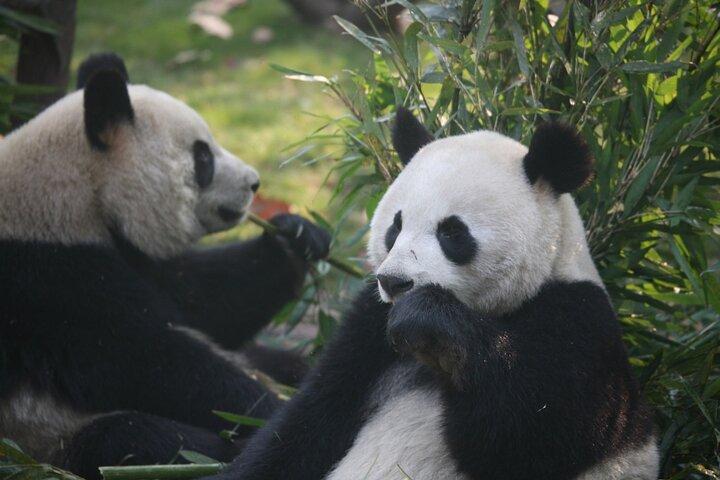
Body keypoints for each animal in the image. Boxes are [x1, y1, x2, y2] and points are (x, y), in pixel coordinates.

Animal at [0, 53, 330, 478]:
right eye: (202, 157)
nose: (254, 183)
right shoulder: (47, 281)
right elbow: (146, 360)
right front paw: (270, 412)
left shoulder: (128, 257)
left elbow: (201, 302)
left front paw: (296, 238)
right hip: (45, 436)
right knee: (138, 441)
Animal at [203, 108, 659, 480]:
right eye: (395, 225)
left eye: (452, 232)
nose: (395, 282)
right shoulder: (368, 330)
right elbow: (311, 420)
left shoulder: (578, 322)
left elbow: (532, 431)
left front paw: (429, 323)